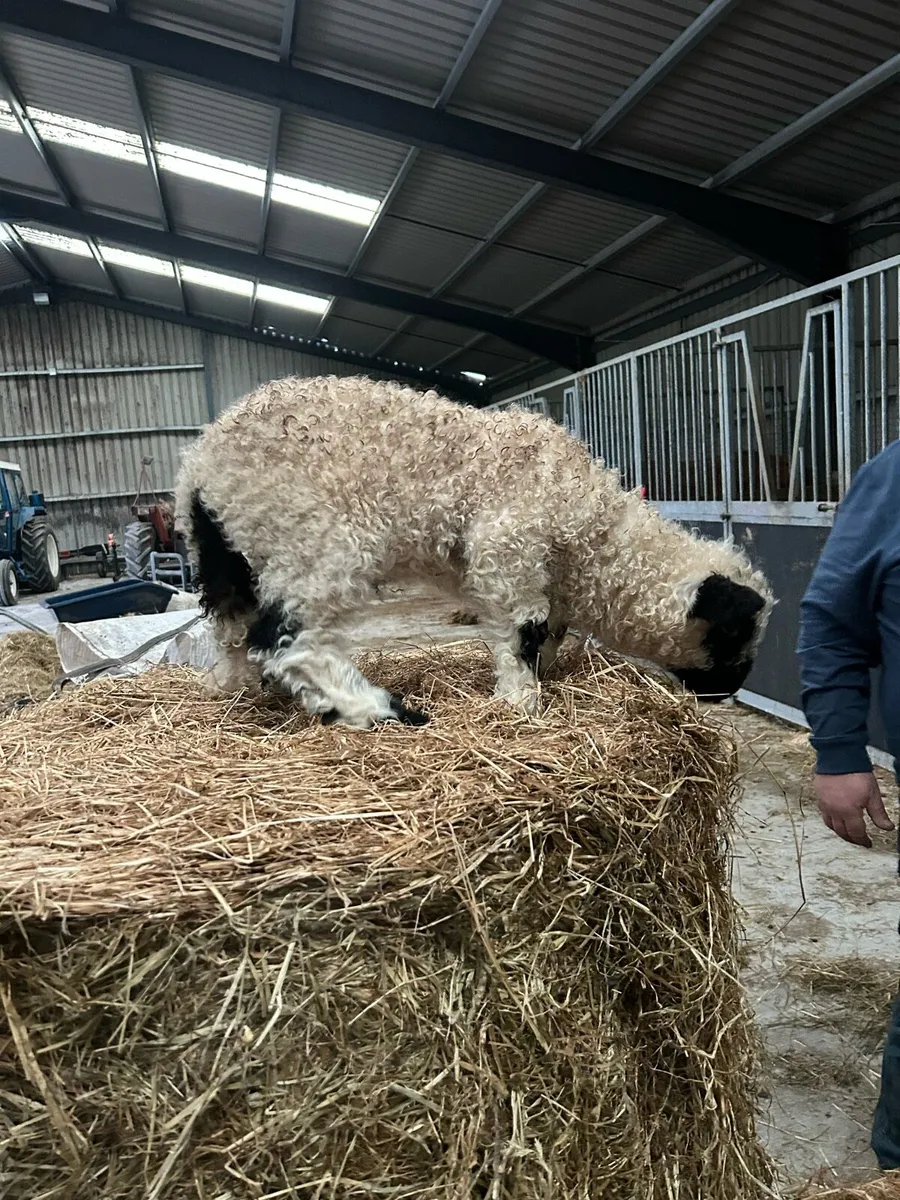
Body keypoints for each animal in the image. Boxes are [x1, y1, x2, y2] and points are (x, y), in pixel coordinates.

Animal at [175, 375, 773, 729]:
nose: (730, 691)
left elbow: (548, 633)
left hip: (235, 554)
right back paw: (382, 710)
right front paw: (521, 701)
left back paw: (237, 689)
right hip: (315, 539)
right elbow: (522, 630)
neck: (592, 527)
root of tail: (199, 469)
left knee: (233, 630)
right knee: (284, 638)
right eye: (734, 632)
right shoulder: (510, 542)